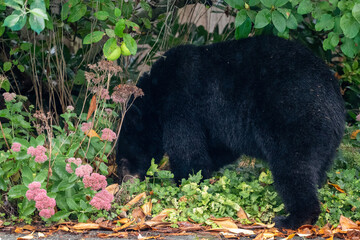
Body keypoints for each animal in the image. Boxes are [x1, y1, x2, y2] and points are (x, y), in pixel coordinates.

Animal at [116, 35, 344, 229]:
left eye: (122, 160)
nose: (124, 181)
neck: (157, 92)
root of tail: (334, 99)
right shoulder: (218, 124)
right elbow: (220, 148)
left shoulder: (182, 104)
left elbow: (187, 149)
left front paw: (184, 182)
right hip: (323, 140)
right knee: (315, 169)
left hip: (293, 118)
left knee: (293, 167)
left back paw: (293, 219)